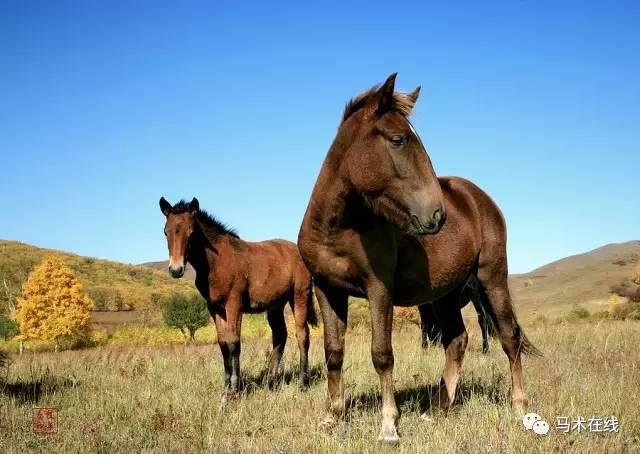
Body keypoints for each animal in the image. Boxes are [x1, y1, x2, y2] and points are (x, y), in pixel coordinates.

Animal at [298, 73, 536, 444]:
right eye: (397, 139)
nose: (437, 215)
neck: (337, 227)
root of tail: (479, 198)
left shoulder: (379, 291)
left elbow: (382, 355)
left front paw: (388, 427)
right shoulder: (327, 290)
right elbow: (334, 353)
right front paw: (332, 418)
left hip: (492, 278)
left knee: (510, 338)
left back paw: (519, 406)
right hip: (445, 295)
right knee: (457, 341)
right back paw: (438, 408)